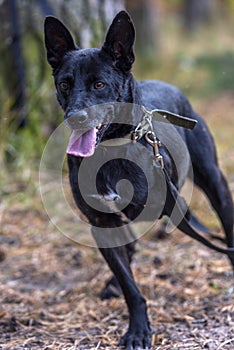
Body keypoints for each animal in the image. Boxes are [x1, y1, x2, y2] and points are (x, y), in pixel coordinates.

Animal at [44, 10, 234, 350]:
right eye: (64, 84)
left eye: (99, 84)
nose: (75, 118)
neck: (111, 150)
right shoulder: (101, 224)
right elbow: (130, 286)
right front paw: (137, 328)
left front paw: (138, 330)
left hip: (215, 183)